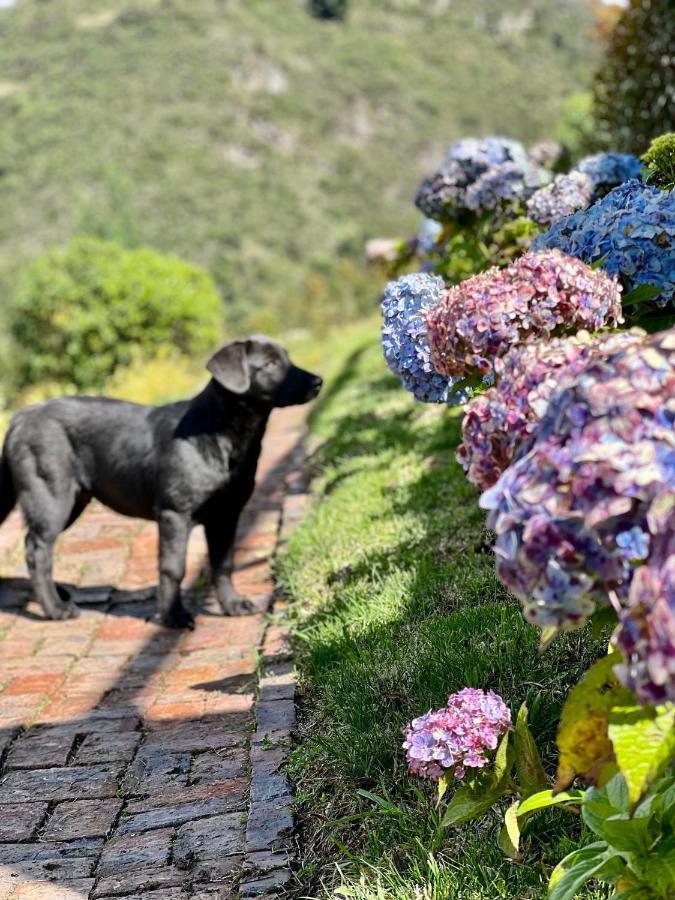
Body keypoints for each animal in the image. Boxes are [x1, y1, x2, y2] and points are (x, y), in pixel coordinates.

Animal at [0, 336, 324, 624]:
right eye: (271, 363)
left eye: (287, 358)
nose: (318, 381)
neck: (223, 437)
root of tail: (20, 417)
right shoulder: (174, 513)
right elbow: (173, 568)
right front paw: (173, 616)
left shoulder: (226, 516)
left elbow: (223, 564)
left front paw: (232, 604)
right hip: (51, 496)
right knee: (37, 550)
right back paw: (55, 609)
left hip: (74, 500)